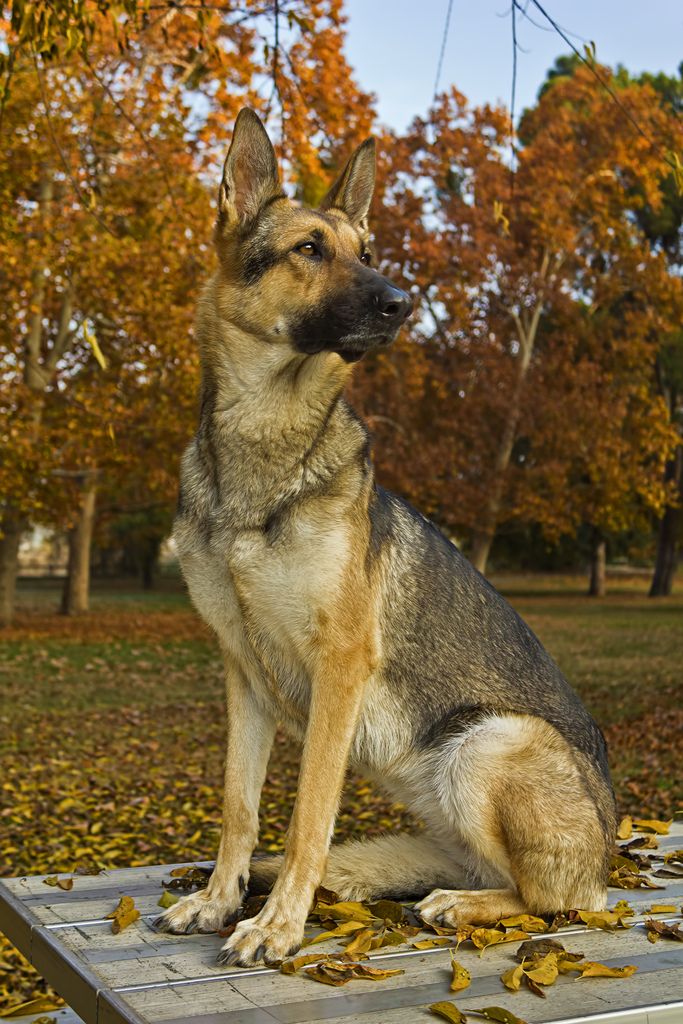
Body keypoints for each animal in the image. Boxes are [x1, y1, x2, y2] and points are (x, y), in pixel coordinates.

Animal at [157, 110, 618, 966]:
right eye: (309, 249)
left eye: (366, 253)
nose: (402, 304)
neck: (261, 451)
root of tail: (607, 851)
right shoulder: (242, 674)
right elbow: (240, 808)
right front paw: (218, 901)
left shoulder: (338, 668)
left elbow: (305, 816)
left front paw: (277, 925)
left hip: (485, 743)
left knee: (551, 901)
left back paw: (464, 906)